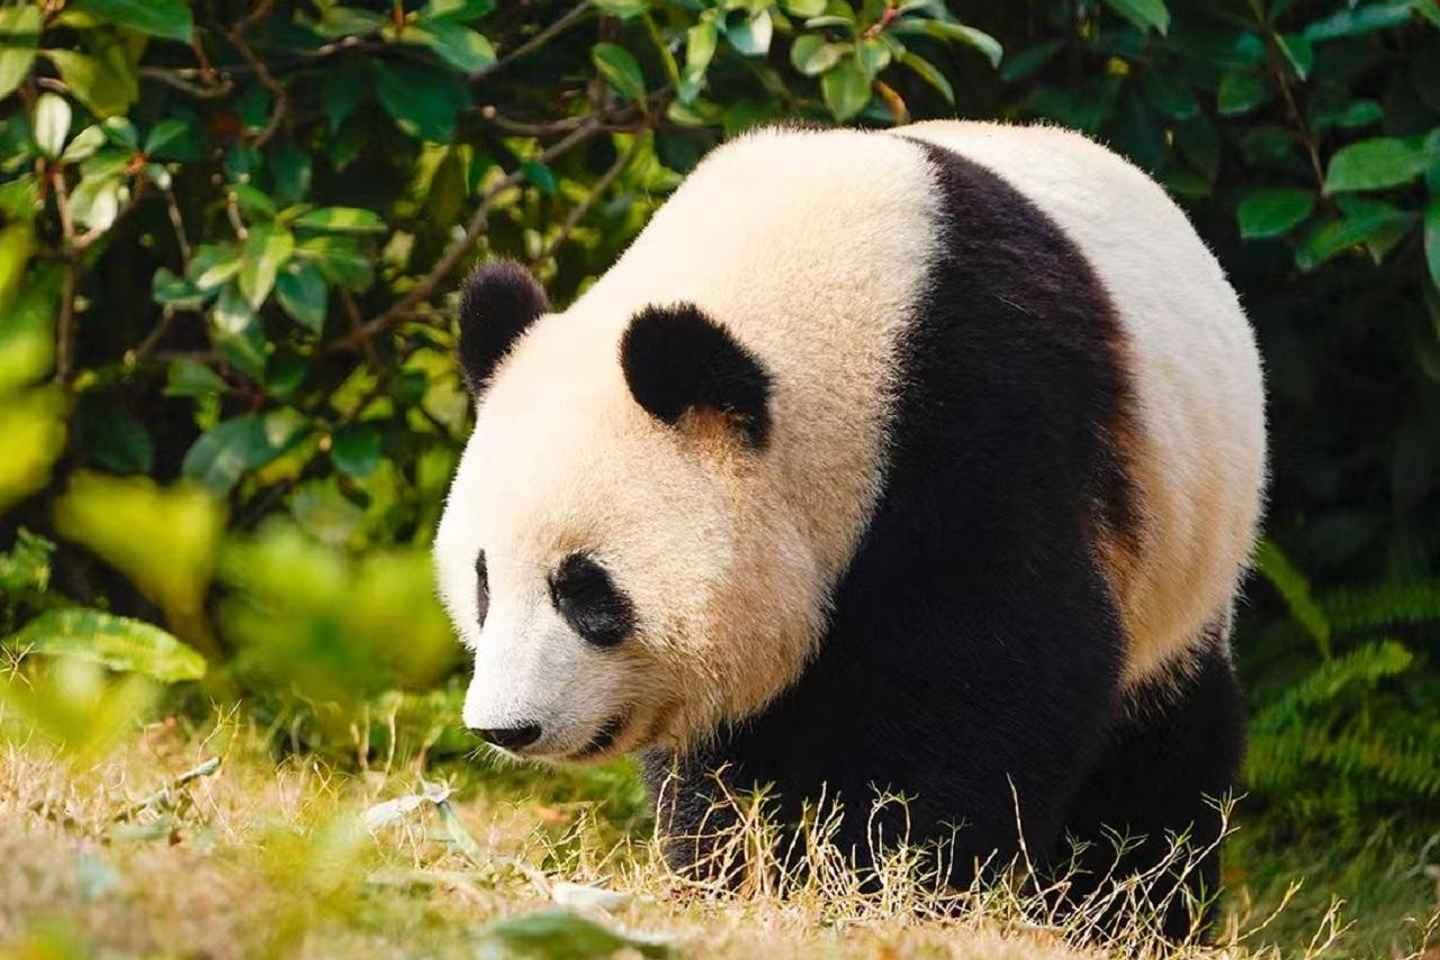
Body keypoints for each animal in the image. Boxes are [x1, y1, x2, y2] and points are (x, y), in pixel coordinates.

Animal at [434, 121, 1266, 937]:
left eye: (585, 590)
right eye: (483, 583)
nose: (505, 728)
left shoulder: (983, 423)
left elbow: (997, 671)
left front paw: (888, 886)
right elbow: (729, 748)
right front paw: (735, 873)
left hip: (1182, 550)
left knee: (1158, 747)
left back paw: (1131, 911)